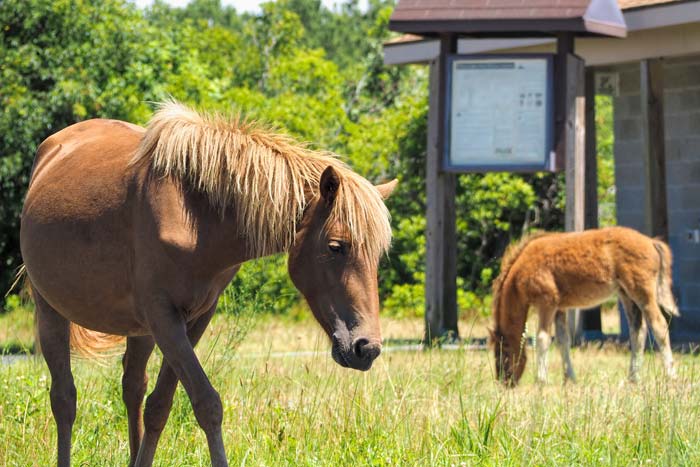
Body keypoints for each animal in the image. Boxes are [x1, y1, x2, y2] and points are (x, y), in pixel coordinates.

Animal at [19, 103, 396, 467]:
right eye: (336, 246)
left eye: (378, 253)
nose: (366, 348)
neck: (195, 215)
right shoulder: (164, 319)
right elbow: (207, 403)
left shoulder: (195, 319)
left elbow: (159, 405)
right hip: (51, 312)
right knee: (64, 399)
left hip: (139, 332)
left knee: (132, 389)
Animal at [492, 227, 680, 388]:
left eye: (502, 352)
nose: (504, 381)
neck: (522, 267)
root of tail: (651, 241)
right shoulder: (560, 308)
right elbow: (563, 341)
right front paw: (569, 379)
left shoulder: (547, 303)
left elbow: (542, 339)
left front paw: (541, 381)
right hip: (626, 295)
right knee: (638, 331)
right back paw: (632, 379)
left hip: (642, 293)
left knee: (659, 325)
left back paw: (671, 377)